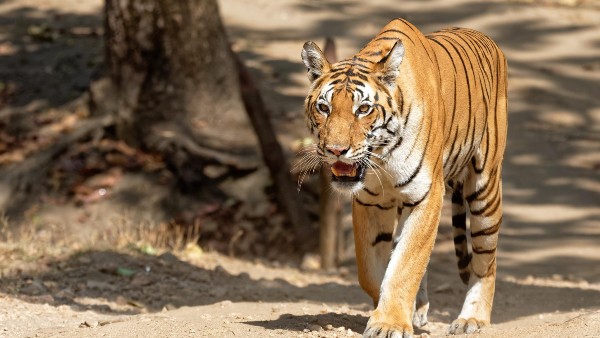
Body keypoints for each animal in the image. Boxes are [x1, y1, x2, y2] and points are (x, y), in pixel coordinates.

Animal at [300, 19, 506, 338]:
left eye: (363, 109)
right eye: (324, 107)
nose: (335, 150)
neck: (382, 155)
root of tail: (485, 37)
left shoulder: (427, 196)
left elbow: (406, 264)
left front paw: (389, 323)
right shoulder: (370, 202)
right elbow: (372, 270)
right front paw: (396, 312)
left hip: (485, 190)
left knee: (487, 261)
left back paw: (472, 319)